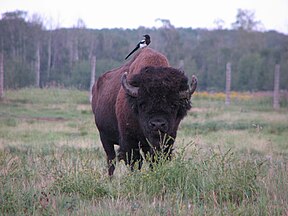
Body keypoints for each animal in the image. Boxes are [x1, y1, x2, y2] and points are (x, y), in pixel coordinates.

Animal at [91, 47, 197, 176]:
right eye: (142, 104)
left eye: (173, 105)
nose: (157, 124)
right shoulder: (131, 141)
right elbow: (135, 162)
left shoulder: (167, 139)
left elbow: (155, 159)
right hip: (105, 138)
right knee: (111, 160)